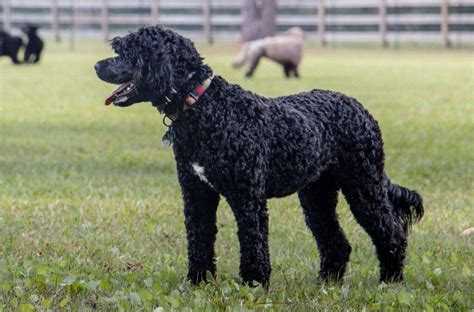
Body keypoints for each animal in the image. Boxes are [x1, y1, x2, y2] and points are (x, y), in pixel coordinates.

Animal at [94, 26, 424, 288]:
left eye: (126, 52)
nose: (97, 65)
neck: (205, 107)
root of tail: (360, 109)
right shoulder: (196, 193)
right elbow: (199, 238)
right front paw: (197, 282)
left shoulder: (247, 197)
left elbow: (252, 240)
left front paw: (254, 283)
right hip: (317, 194)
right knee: (336, 242)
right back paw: (326, 282)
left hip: (363, 184)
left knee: (390, 233)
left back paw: (390, 280)